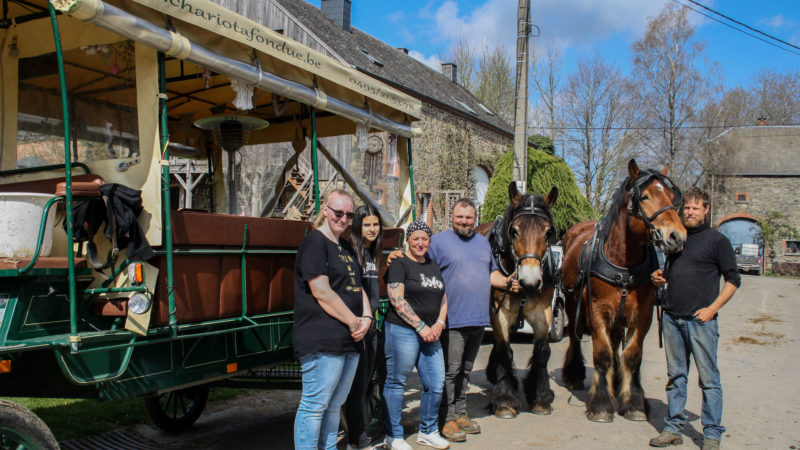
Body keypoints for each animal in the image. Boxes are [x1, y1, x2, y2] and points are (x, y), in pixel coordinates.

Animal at [478, 182, 560, 418]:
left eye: (548, 232)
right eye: (514, 231)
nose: (530, 281)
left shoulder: (544, 312)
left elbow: (542, 351)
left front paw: (541, 397)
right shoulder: (499, 313)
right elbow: (504, 351)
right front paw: (505, 400)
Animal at [560, 161, 684, 422]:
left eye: (671, 196)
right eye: (645, 196)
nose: (677, 236)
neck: (623, 264)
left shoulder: (643, 314)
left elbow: (632, 355)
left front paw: (633, 402)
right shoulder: (596, 311)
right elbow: (603, 354)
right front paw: (601, 404)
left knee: (617, 341)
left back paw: (616, 383)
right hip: (573, 303)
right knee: (576, 337)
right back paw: (574, 375)